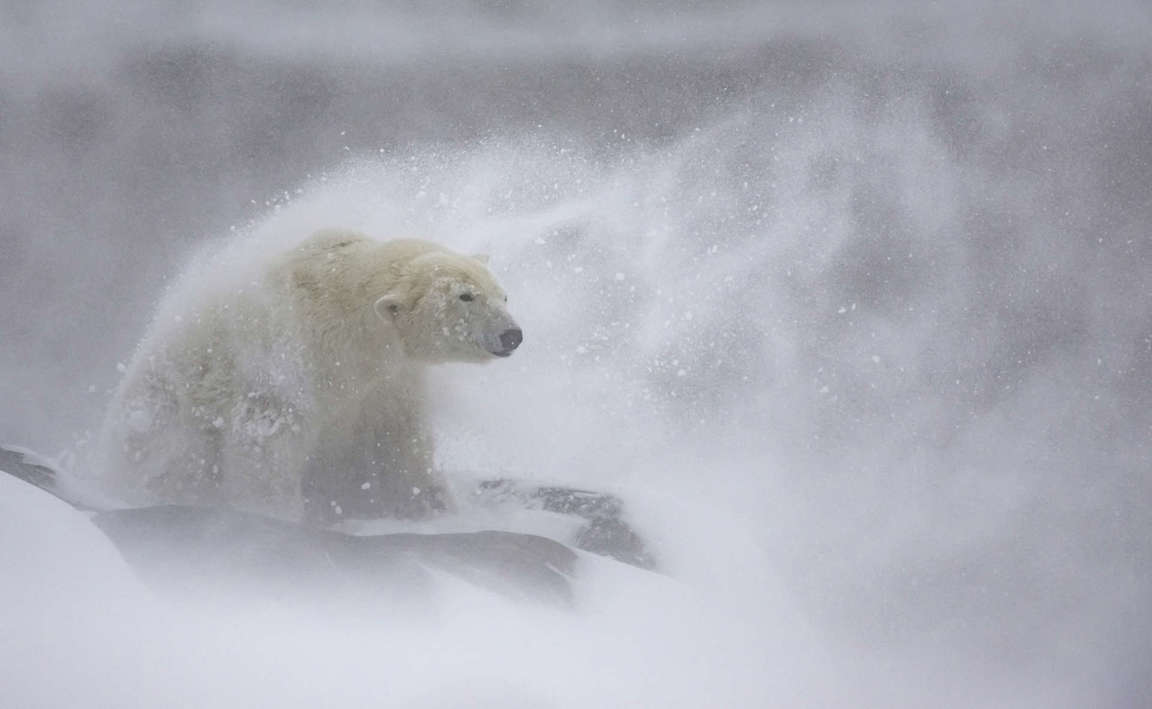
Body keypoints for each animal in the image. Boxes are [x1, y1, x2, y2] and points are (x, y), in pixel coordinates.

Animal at [95, 229, 522, 524]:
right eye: (465, 296)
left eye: (502, 294)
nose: (512, 334)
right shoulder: (290, 358)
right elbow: (267, 436)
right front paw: (275, 514)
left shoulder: (390, 379)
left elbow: (400, 440)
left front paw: (434, 506)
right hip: (166, 411)